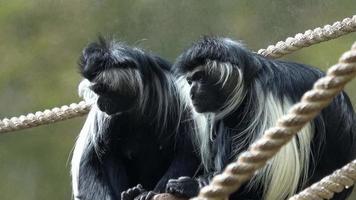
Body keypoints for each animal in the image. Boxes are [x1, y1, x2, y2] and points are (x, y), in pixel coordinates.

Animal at [70, 38, 203, 200]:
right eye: (95, 91)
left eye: (101, 89)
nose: (99, 103)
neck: (138, 104)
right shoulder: (104, 118)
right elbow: (90, 161)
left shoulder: (178, 98)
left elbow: (188, 151)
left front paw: (153, 193)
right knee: (108, 155)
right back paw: (129, 193)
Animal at [166, 36, 356, 199]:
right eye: (190, 81)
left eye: (199, 77)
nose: (191, 93)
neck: (248, 85)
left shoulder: (265, 101)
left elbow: (265, 172)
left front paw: (191, 185)